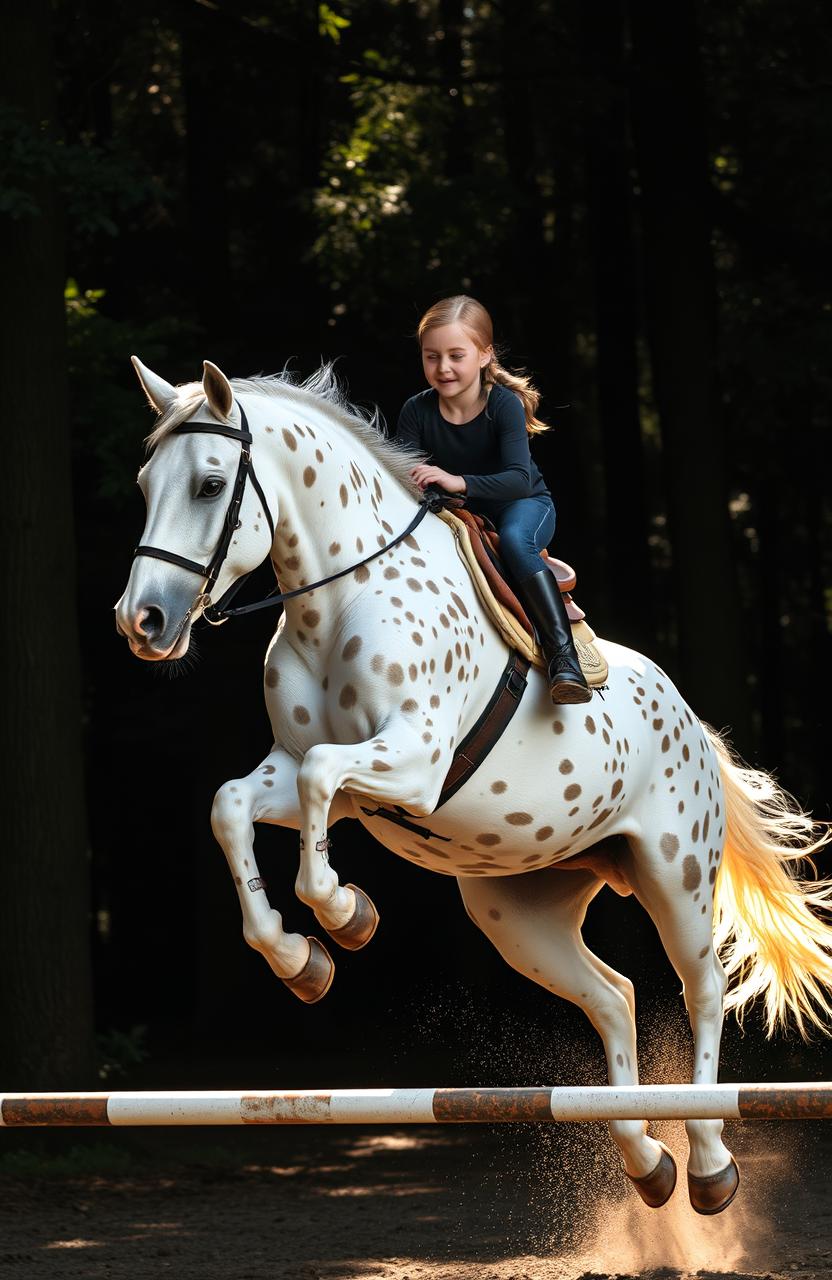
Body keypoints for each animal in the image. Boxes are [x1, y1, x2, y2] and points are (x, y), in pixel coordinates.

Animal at [115, 355, 832, 1215]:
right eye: (145, 482)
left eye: (210, 483)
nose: (141, 622)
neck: (338, 598)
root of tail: (695, 724)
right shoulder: (308, 773)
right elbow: (234, 807)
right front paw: (302, 960)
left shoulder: (414, 762)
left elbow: (322, 785)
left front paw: (346, 915)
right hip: (518, 912)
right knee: (613, 995)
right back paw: (645, 1161)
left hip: (675, 875)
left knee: (704, 990)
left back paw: (709, 1164)